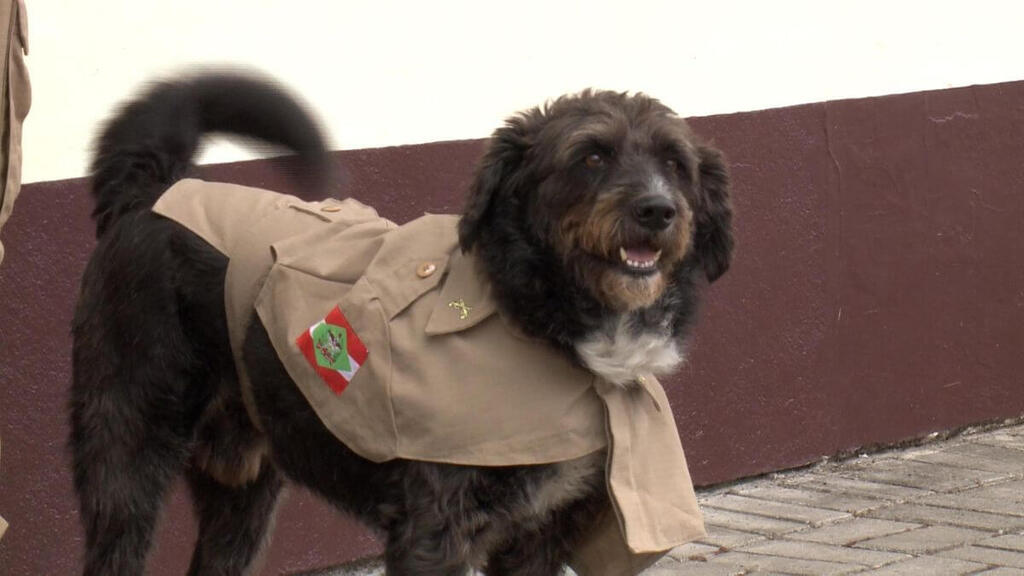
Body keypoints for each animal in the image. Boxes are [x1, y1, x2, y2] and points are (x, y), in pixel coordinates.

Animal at [70, 72, 729, 573]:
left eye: (676, 164)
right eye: (591, 156)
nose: (657, 210)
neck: (528, 317)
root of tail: (155, 190)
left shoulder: (538, 538)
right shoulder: (436, 531)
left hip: (242, 483)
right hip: (127, 454)